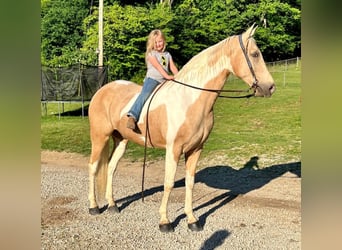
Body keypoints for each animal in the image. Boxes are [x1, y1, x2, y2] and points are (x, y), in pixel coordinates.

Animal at [87, 23, 276, 232]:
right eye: (255, 54)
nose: (270, 87)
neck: (190, 99)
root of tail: (102, 91)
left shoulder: (195, 149)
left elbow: (190, 183)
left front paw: (192, 220)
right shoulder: (173, 149)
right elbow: (168, 183)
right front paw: (165, 221)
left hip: (121, 140)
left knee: (111, 168)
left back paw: (112, 205)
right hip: (99, 137)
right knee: (93, 167)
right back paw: (94, 207)